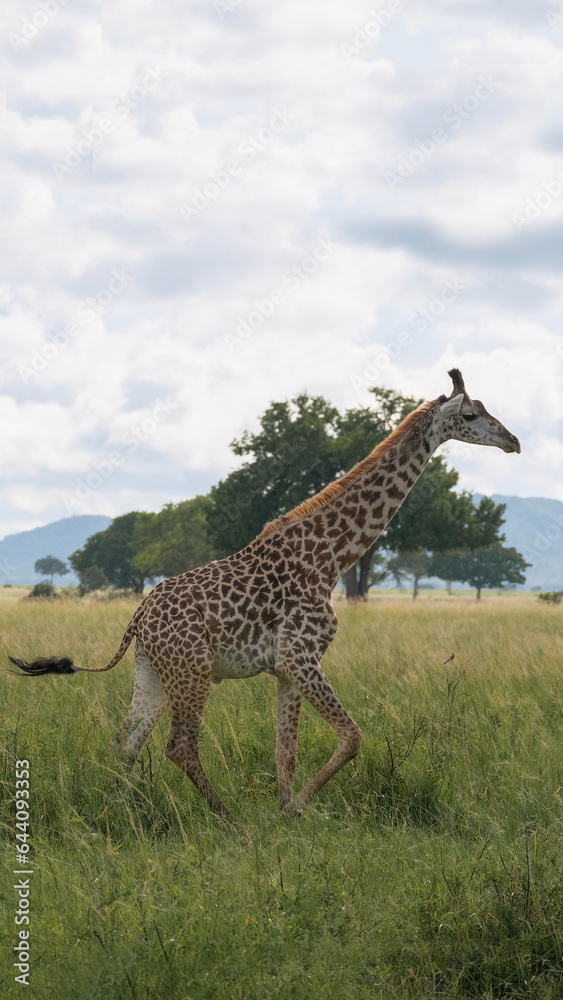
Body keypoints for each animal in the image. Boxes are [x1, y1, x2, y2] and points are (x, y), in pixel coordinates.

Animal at [10, 369, 520, 823]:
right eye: (471, 415)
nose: (513, 441)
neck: (330, 561)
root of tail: (137, 617)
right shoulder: (300, 656)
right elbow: (352, 737)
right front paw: (294, 809)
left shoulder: (287, 668)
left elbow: (286, 752)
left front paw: (284, 814)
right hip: (193, 671)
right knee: (178, 746)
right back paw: (229, 820)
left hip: (153, 673)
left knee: (125, 743)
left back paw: (118, 811)